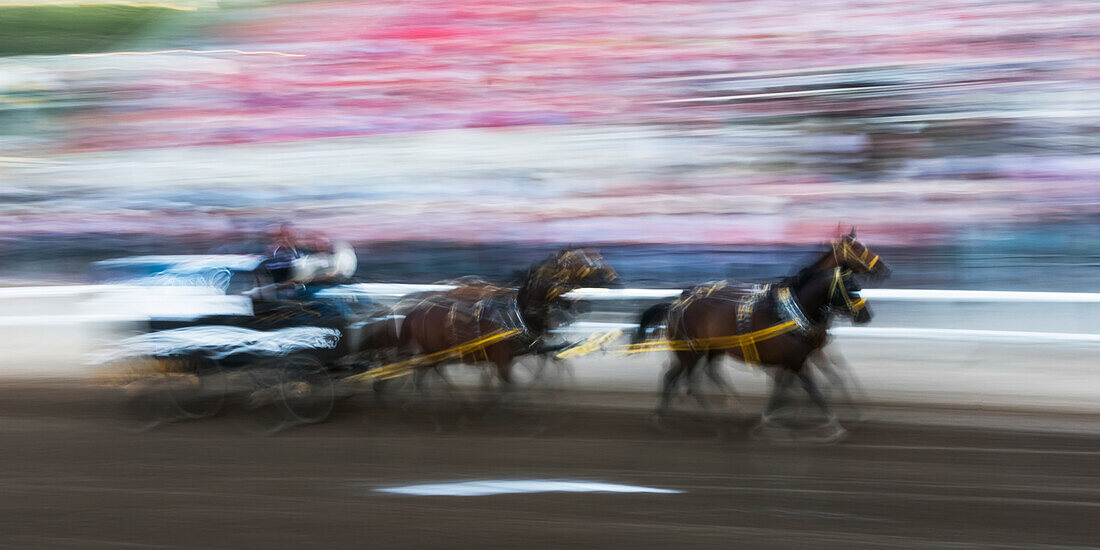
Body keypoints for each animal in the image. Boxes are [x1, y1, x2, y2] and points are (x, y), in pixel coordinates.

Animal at [633, 233, 888, 437]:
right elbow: (806, 387)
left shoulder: (807, 352)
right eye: (859, 249)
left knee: (697, 374)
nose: (866, 315)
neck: (790, 311)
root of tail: (677, 303)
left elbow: (831, 375)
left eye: (856, 285)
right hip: (690, 350)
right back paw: (700, 418)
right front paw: (828, 422)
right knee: (681, 377)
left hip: (709, 349)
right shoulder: (795, 358)